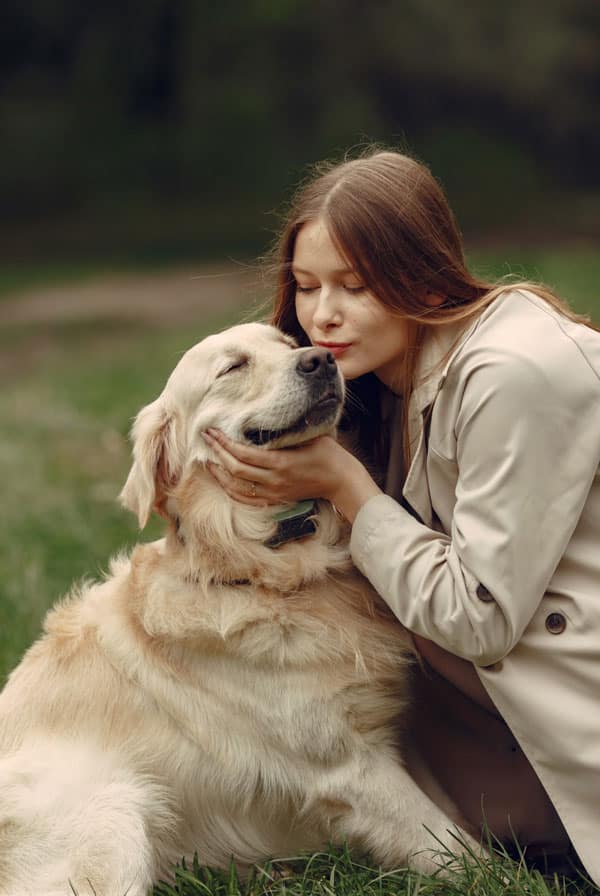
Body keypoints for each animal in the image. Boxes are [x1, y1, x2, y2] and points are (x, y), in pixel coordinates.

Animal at [0, 324, 472, 896]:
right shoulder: (350, 767)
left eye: (287, 344)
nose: (320, 360)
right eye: (232, 368)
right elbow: (460, 849)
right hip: (115, 820)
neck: (268, 570)